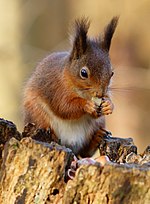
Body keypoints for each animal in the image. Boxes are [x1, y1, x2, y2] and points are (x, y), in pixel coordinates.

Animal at [22, 16, 118, 157]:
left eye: (112, 73)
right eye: (83, 73)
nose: (100, 94)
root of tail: (70, 146)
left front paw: (109, 105)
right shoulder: (56, 88)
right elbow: (64, 107)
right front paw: (86, 105)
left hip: (98, 124)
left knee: (86, 151)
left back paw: (97, 137)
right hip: (36, 114)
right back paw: (51, 135)